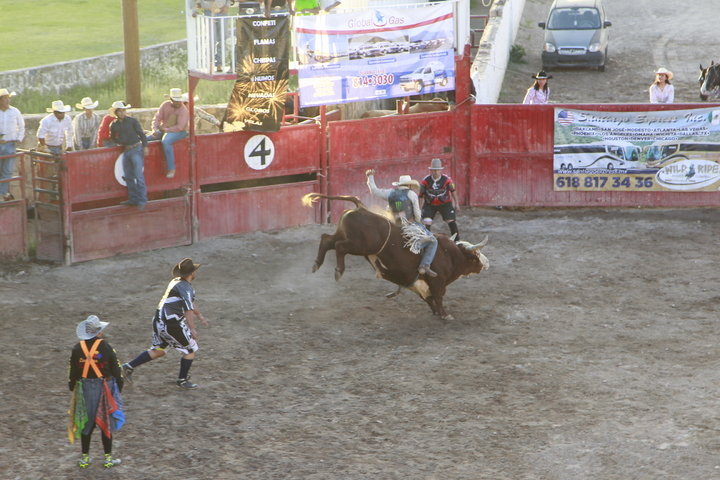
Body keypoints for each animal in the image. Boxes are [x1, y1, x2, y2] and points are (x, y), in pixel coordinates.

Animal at [304, 193, 490, 320]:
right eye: (475, 254)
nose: (486, 263)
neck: (450, 254)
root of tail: (361, 207)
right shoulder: (437, 280)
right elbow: (438, 296)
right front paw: (445, 315)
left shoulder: (417, 284)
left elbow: (429, 298)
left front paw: (437, 313)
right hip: (360, 245)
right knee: (338, 246)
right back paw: (338, 271)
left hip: (345, 236)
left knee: (326, 240)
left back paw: (316, 264)